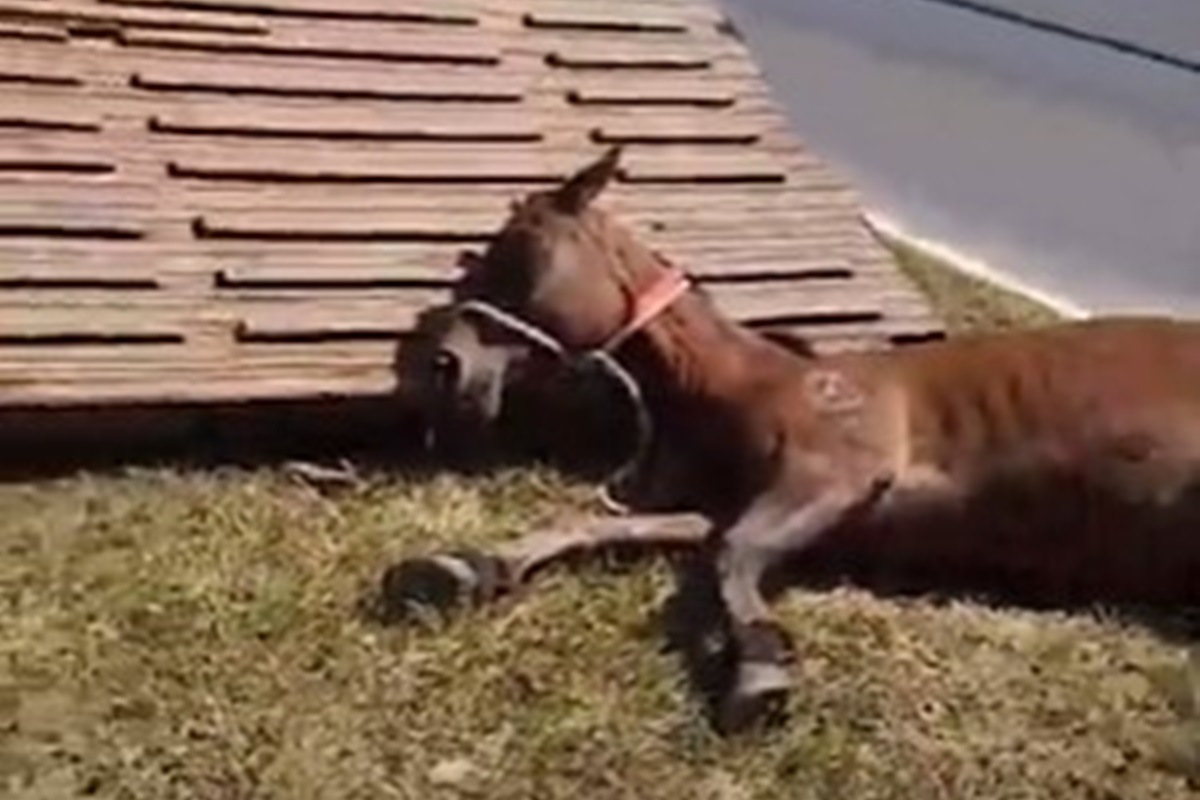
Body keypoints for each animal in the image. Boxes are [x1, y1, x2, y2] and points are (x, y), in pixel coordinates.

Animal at [381, 146, 1200, 734]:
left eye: (519, 252)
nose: (442, 363)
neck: (751, 380)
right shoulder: (737, 503)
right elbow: (610, 526)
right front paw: (461, 568)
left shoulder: (835, 472)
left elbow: (733, 555)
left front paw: (760, 669)